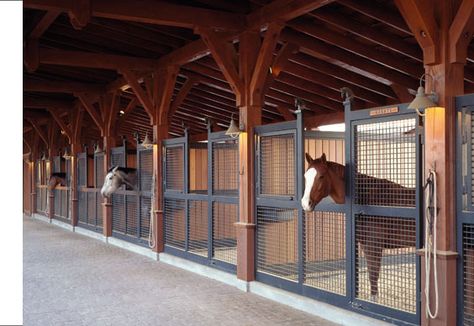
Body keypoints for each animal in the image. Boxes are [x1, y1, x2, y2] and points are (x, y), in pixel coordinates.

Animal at [304, 153, 414, 300]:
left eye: (321, 176)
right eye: (305, 176)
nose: (305, 203)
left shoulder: (374, 246)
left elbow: (373, 275)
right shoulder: (366, 245)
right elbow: (371, 274)